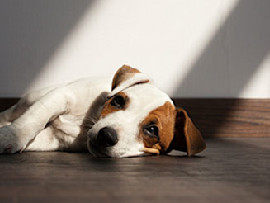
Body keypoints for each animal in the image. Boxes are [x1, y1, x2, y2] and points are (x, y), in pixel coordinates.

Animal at [0, 66, 206, 158]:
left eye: (152, 130)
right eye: (118, 101)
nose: (106, 136)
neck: (86, 123)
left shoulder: (54, 138)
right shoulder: (61, 96)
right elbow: (34, 117)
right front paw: (11, 136)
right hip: (28, 100)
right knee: (11, 114)